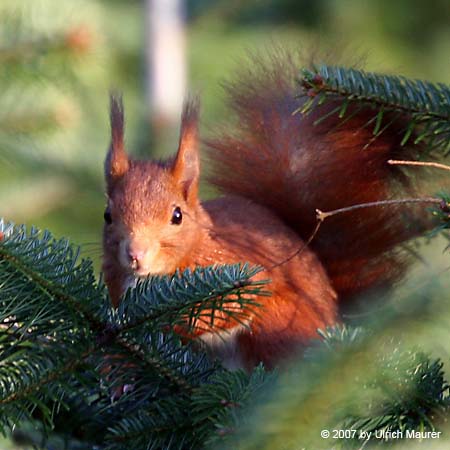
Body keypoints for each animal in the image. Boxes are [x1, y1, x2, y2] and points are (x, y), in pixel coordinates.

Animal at [103, 54, 428, 370]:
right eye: (108, 216)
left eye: (177, 216)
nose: (135, 253)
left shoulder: (239, 273)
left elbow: (222, 309)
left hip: (278, 323)